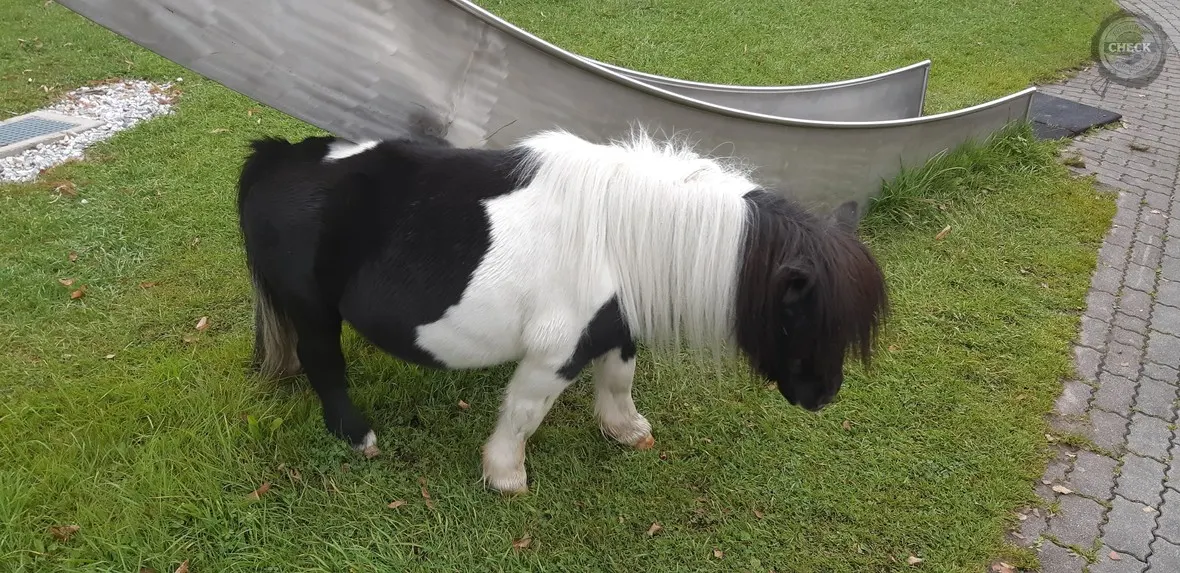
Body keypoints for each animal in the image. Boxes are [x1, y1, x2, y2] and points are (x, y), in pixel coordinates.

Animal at [236, 127, 889, 494]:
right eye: (798, 317)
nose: (823, 396)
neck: (622, 237)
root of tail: (275, 158)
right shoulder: (554, 353)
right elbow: (525, 412)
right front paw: (505, 475)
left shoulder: (616, 329)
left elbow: (619, 380)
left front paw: (627, 432)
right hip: (313, 309)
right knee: (324, 364)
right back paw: (358, 436)